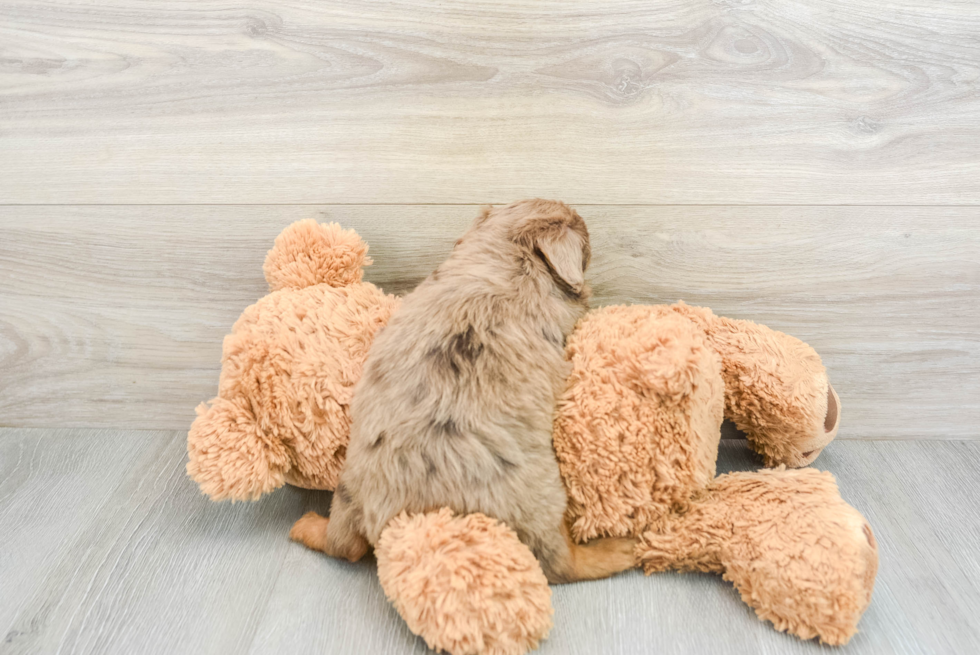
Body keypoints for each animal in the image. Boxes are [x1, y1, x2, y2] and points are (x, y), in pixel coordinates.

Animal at [290, 200, 640, 584]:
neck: (509, 258)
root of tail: (406, 518)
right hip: (543, 499)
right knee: (561, 564)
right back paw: (618, 549)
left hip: (349, 489)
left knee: (343, 545)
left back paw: (306, 526)